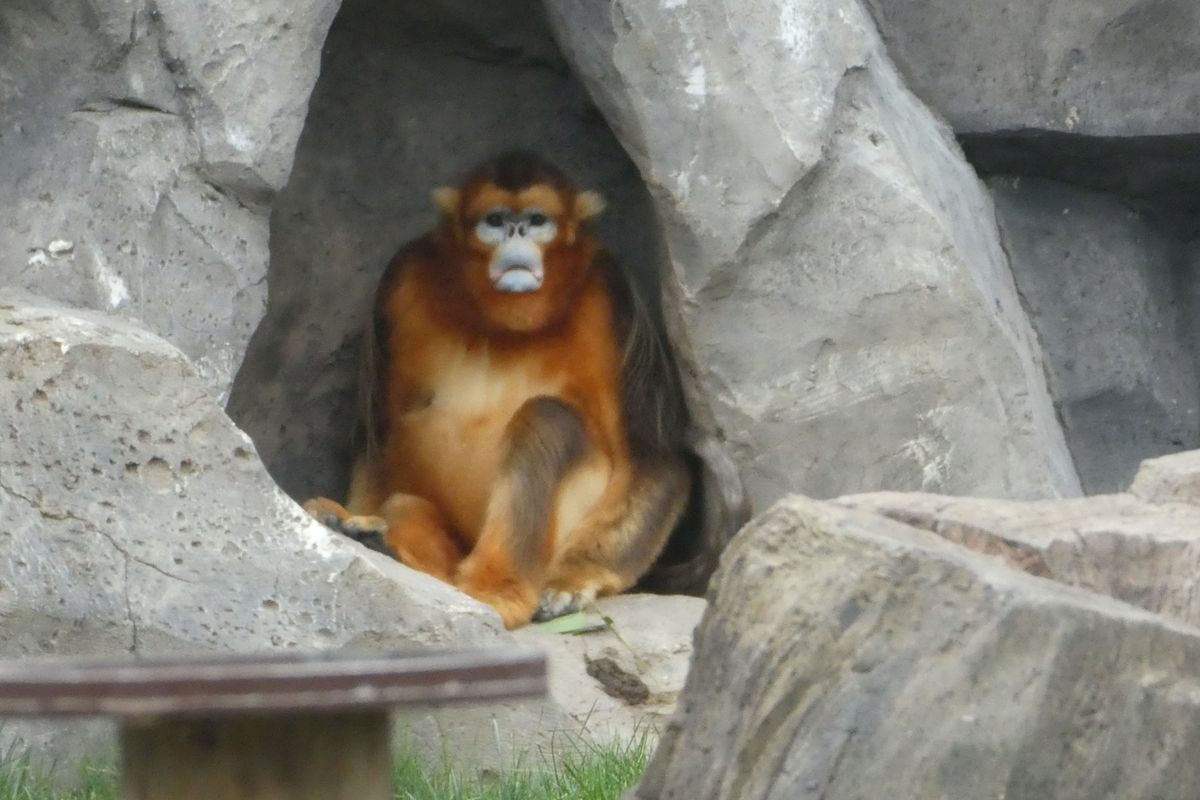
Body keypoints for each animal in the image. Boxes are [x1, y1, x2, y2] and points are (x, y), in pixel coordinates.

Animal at [303, 151, 715, 629]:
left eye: (536, 221)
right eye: (495, 220)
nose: (515, 235)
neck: (507, 324)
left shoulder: (612, 296)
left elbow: (653, 462)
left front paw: (573, 580)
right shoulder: (402, 278)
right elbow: (379, 433)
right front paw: (357, 517)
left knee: (546, 419)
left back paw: (497, 591)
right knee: (406, 501)